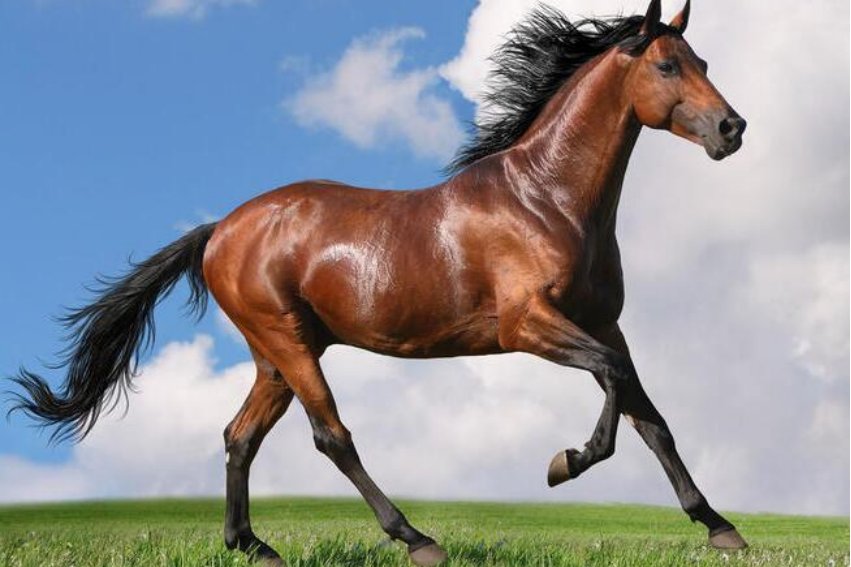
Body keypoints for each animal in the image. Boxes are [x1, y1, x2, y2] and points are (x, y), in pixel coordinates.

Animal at [9, 1, 748, 565]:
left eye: (704, 63)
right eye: (666, 64)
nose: (731, 127)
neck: (546, 199)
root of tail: (220, 229)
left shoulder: (603, 322)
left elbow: (650, 416)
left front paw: (719, 526)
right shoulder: (527, 324)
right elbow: (615, 388)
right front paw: (564, 461)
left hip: (275, 355)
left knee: (239, 435)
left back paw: (253, 545)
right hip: (288, 343)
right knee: (331, 435)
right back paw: (416, 538)